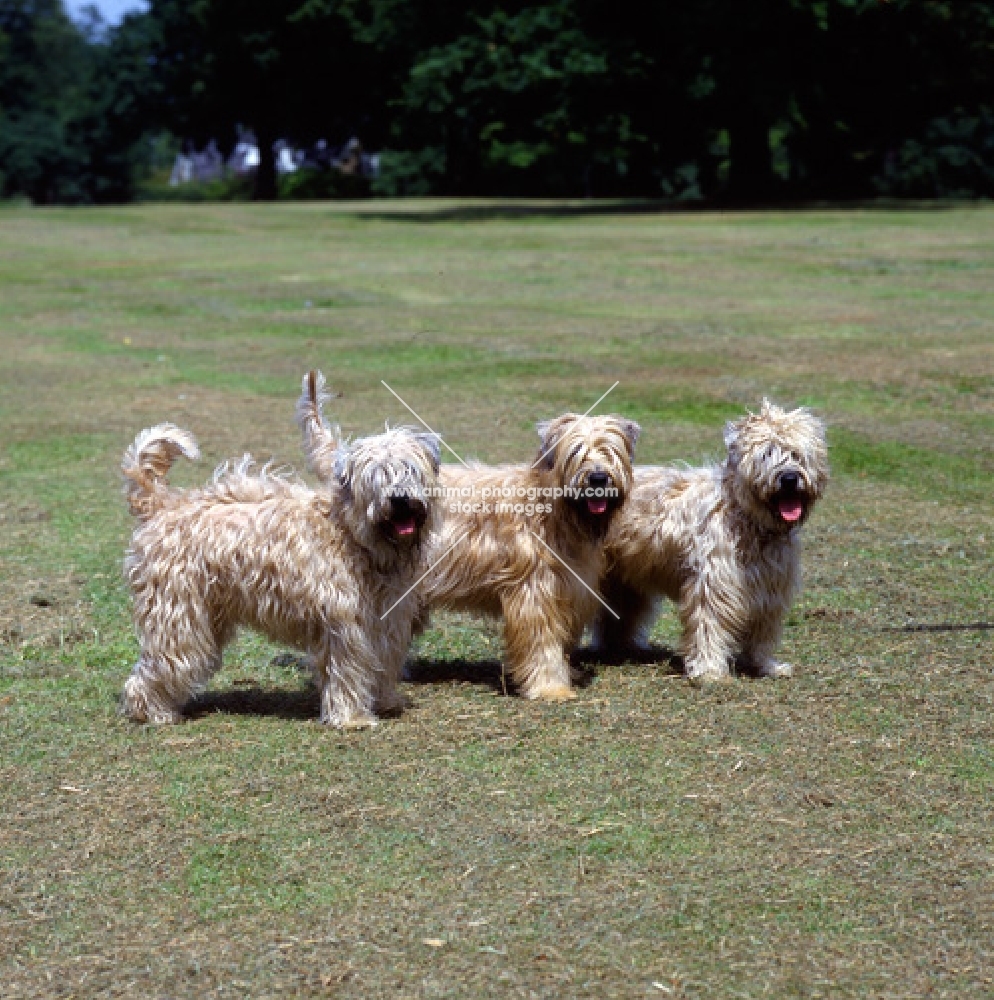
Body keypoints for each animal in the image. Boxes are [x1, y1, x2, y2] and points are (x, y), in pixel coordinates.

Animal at [119, 376, 438, 728]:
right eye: (376, 476)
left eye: (410, 469)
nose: (400, 499)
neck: (353, 535)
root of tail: (162, 504)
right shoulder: (345, 625)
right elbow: (349, 672)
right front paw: (353, 718)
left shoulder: (386, 621)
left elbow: (382, 663)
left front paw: (385, 701)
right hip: (178, 616)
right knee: (159, 666)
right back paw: (154, 713)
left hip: (207, 617)